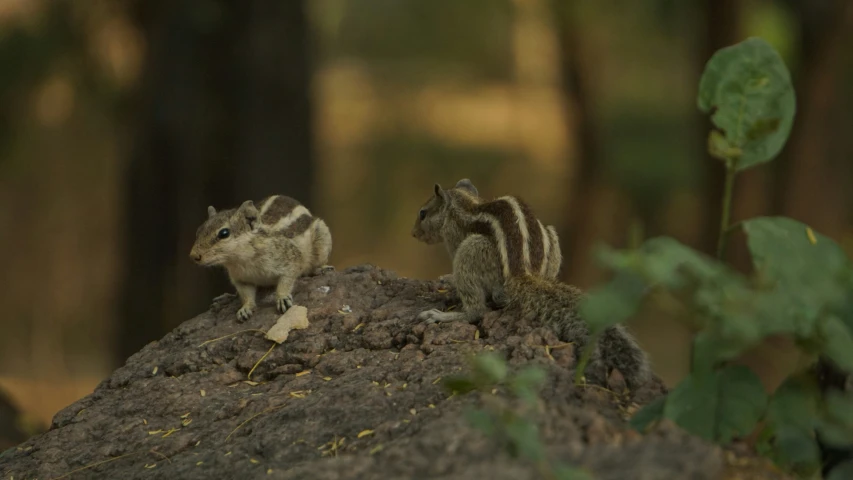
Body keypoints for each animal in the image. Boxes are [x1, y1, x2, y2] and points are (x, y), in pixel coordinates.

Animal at [190, 195, 332, 322]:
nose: (193, 256)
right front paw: (245, 308)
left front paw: (282, 298)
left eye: (224, 233)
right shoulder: (240, 279)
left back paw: (321, 269)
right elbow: (246, 294)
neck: (242, 259)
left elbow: (286, 280)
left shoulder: (291, 259)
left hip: (322, 238)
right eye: (198, 231)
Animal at [410, 178, 648, 388]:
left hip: (471, 250)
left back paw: (442, 316)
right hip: (552, 235)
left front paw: (448, 280)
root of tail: (523, 275)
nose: (413, 234)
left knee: (477, 310)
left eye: (422, 213)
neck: (464, 204)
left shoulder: (454, 239)